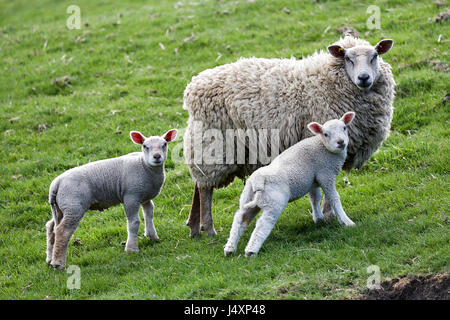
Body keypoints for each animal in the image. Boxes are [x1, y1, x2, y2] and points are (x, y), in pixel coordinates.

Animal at [45, 129, 178, 268]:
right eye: (145, 146)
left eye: (164, 144)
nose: (157, 156)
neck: (144, 166)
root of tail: (56, 184)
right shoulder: (131, 196)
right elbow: (134, 222)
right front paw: (131, 249)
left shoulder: (145, 197)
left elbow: (149, 214)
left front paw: (152, 236)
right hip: (73, 206)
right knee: (63, 231)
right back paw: (58, 263)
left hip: (61, 208)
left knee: (51, 227)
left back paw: (49, 258)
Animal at [183, 36, 394, 239]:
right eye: (348, 58)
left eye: (375, 56)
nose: (364, 78)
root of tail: (192, 88)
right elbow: (322, 190)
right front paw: (328, 216)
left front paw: (328, 215)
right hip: (214, 146)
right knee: (205, 189)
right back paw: (209, 229)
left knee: (198, 185)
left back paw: (194, 227)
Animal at [224, 112, 356, 258]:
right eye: (326, 134)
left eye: (344, 127)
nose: (341, 142)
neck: (323, 147)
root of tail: (257, 180)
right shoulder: (325, 175)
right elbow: (334, 198)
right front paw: (346, 221)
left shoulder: (313, 180)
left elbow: (315, 198)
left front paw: (318, 218)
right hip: (274, 202)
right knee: (262, 224)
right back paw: (251, 251)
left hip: (248, 198)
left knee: (240, 219)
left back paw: (230, 248)